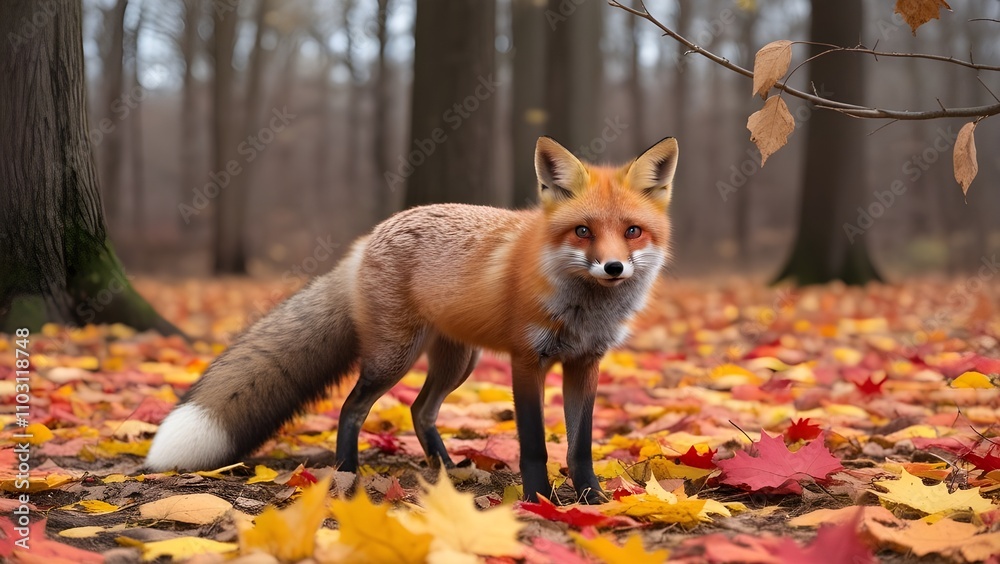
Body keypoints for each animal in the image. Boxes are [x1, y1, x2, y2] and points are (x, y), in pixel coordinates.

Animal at [146, 136, 678, 504]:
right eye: (583, 231)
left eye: (632, 232)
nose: (614, 268)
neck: (584, 309)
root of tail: (368, 238)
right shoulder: (527, 361)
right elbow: (533, 444)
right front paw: (538, 500)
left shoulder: (586, 363)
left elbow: (580, 446)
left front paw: (592, 500)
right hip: (394, 357)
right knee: (353, 408)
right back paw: (348, 470)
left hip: (458, 362)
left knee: (421, 411)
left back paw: (447, 471)